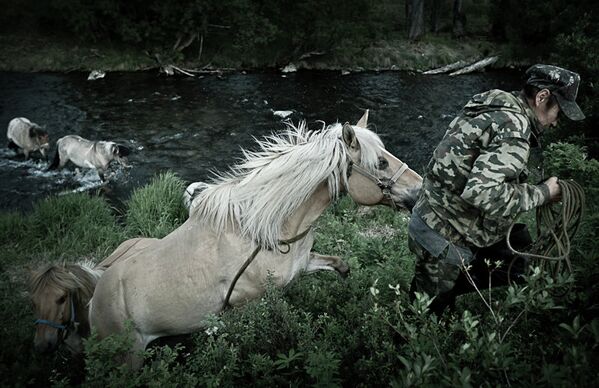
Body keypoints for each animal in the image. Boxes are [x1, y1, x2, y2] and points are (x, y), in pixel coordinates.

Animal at [91, 113, 424, 370]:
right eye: (381, 162)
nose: (420, 190)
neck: (267, 230)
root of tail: (95, 298)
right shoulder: (244, 301)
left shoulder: (302, 264)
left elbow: (339, 264)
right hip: (129, 357)